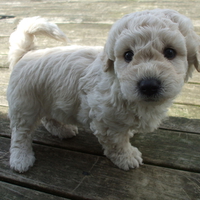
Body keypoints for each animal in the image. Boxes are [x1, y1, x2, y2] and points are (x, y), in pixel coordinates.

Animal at [7, 9, 199, 173]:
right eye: (128, 55)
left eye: (170, 52)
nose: (149, 85)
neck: (119, 84)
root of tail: (26, 53)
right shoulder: (106, 121)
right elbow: (117, 143)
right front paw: (127, 157)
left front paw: (130, 133)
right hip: (25, 105)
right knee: (20, 134)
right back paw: (21, 158)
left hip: (47, 97)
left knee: (49, 118)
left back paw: (63, 130)